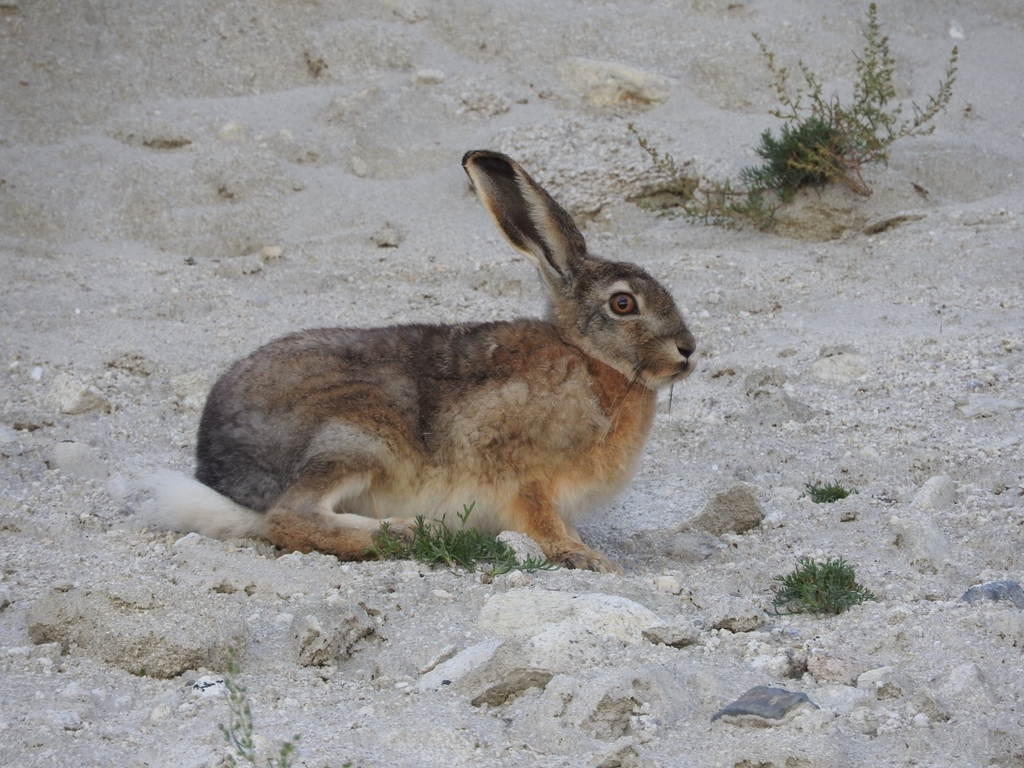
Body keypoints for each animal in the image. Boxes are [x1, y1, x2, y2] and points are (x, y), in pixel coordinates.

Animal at [148, 150, 695, 573]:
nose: (688, 350)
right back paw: (408, 531)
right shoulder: (521, 472)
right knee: (287, 517)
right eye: (623, 304)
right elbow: (541, 519)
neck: (589, 361)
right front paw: (587, 558)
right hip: (358, 434)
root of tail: (218, 468)